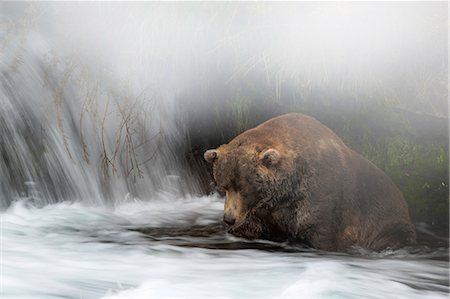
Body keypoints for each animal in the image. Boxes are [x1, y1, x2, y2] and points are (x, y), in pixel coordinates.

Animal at [204, 112, 414, 251]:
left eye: (245, 189)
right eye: (224, 186)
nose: (229, 218)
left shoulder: (321, 195)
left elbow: (321, 233)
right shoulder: (267, 210)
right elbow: (252, 226)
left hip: (387, 221)